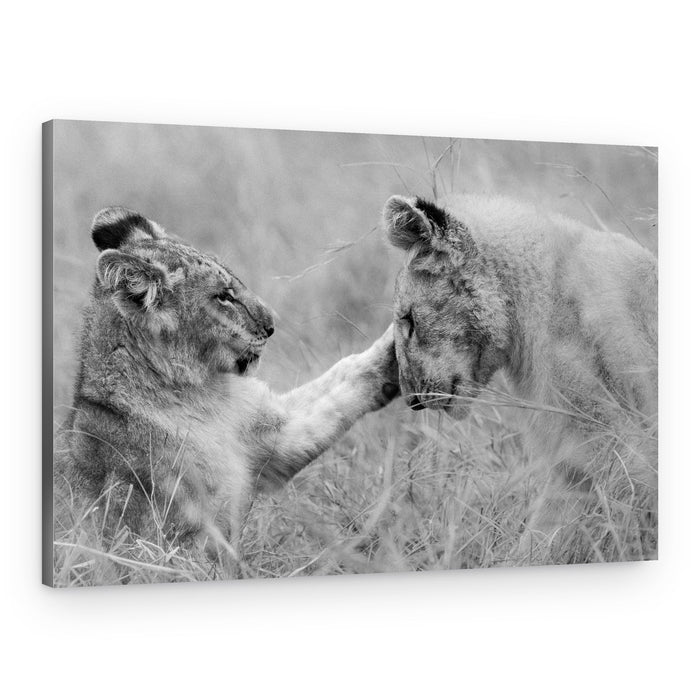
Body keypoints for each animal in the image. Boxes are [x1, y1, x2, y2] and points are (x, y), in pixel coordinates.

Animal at [55, 207, 399, 562]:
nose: (272, 326)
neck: (202, 394)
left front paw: (400, 334)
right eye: (223, 297)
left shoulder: (269, 433)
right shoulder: (159, 539)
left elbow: (343, 382)